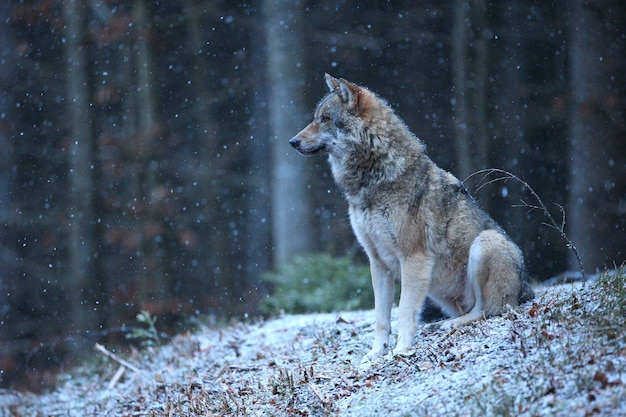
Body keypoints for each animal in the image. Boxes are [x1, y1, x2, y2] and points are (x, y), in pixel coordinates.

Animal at [288, 74, 532, 360]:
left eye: (325, 119)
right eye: (316, 118)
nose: (292, 141)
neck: (372, 180)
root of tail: (526, 290)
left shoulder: (413, 258)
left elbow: (404, 311)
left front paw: (401, 350)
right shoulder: (377, 262)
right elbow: (381, 318)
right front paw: (374, 356)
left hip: (486, 243)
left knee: (487, 310)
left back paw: (450, 324)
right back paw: (441, 323)